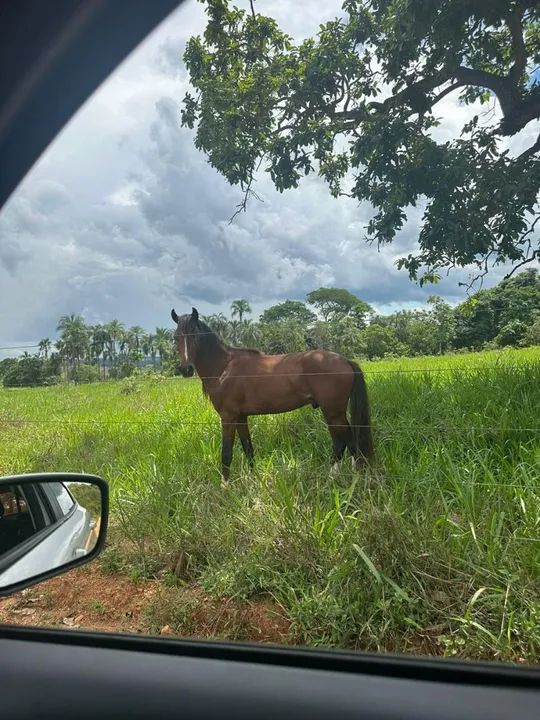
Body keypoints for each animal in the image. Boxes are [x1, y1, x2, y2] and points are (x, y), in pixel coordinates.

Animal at [171, 307, 374, 482]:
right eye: (176, 337)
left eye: (195, 335)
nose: (186, 369)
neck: (224, 368)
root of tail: (344, 360)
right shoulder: (241, 417)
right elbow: (248, 449)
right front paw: (255, 480)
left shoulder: (228, 417)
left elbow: (226, 454)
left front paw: (225, 488)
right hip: (333, 413)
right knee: (344, 443)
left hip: (333, 412)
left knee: (346, 443)